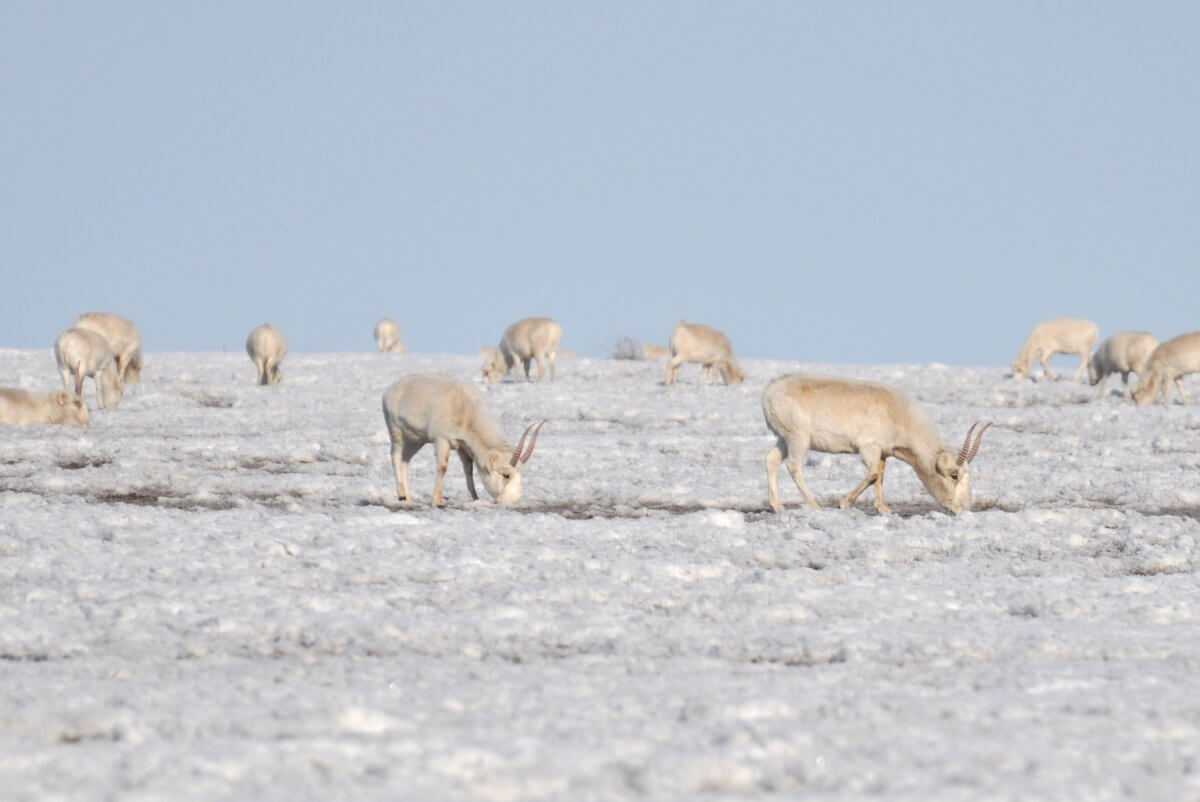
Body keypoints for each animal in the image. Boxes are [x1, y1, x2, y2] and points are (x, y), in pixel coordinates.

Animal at [381, 376, 547, 506]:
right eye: (506, 475)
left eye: (521, 473)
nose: (515, 500)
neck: (465, 409)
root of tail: (389, 391)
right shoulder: (441, 440)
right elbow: (442, 467)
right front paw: (437, 501)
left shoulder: (463, 446)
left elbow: (468, 469)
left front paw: (474, 498)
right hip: (396, 432)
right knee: (395, 456)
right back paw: (401, 494)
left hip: (415, 441)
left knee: (405, 460)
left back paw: (408, 496)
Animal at [763, 374, 988, 513]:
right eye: (954, 476)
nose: (964, 507)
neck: (898, 413)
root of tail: (769, 393)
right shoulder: (868, 447)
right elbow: (872, 475)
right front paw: (844, 503)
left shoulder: (882, 452)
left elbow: (880, 476)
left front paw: (883, 508)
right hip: (798, 439)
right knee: (793, 466)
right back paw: (815, 504)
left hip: (784, 439)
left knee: (771, 460)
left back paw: (777, 506)